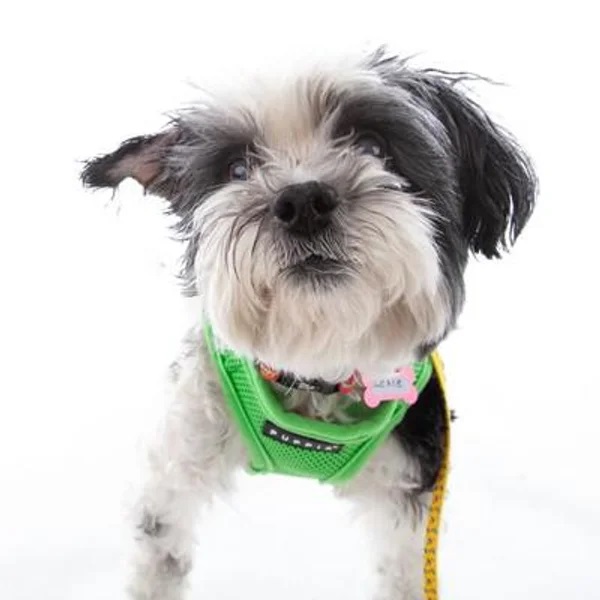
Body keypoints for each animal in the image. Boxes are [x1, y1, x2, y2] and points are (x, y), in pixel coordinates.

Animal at [79, 49, 536, 596]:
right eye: (237, 167)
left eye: (373, 145)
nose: (301, 203)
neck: (316, 369)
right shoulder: (181, 450)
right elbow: (159, 553)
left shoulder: (415, 480)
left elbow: (404, 572)